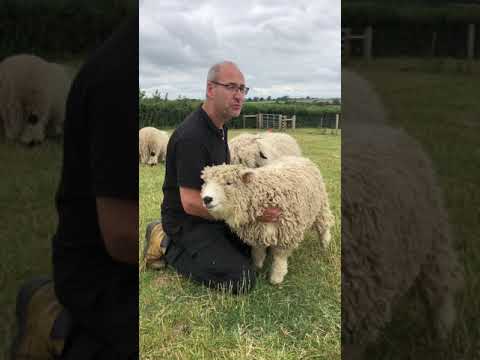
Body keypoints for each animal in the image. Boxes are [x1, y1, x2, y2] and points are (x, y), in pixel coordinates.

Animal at [200, 156, 334, 286]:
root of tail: (301, 157)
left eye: (229, 183)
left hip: (321, 206)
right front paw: (256, 267)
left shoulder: (286, 233)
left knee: (324, 225)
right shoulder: (256, 232)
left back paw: (325, 243)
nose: (206, 199)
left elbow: (280, 258)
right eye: (205, 183)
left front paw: (276, 277)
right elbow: (258, 252)